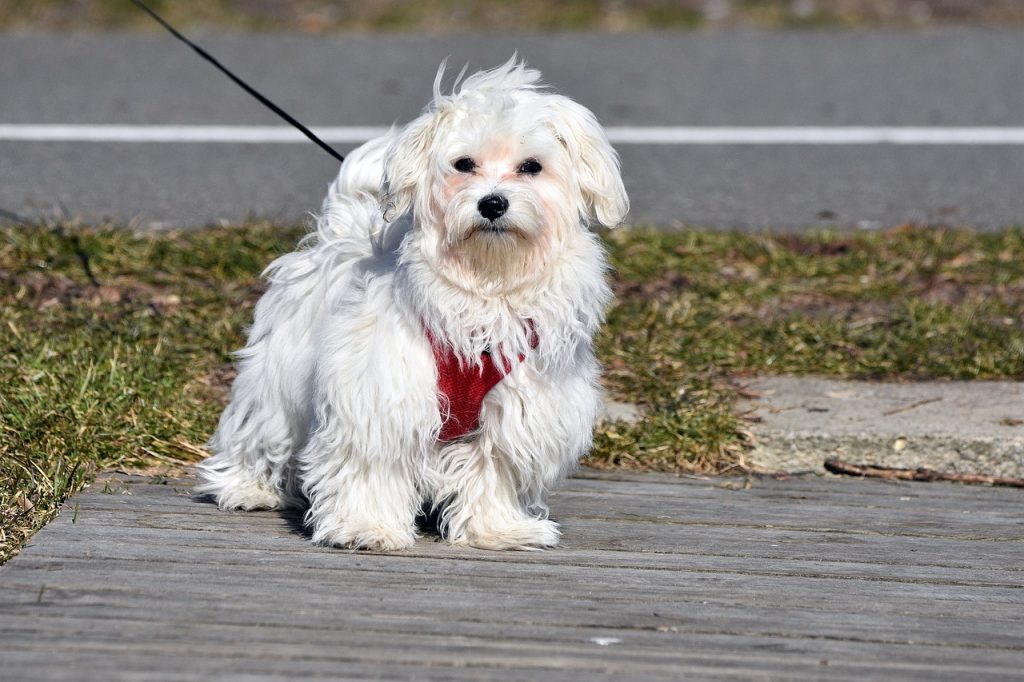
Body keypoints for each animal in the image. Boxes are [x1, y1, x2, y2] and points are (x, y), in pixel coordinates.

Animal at [196, 55, 626, 548]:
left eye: (531, 166)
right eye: (464, 164)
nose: (492, 203)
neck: (487, 283)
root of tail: (339, 233)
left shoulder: (518, 406)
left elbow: (492, 469)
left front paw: (496, 528)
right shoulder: (380, 393)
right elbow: (372, 463)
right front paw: (367, 526)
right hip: (277, 374)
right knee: (264, 427)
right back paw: (248, 486)